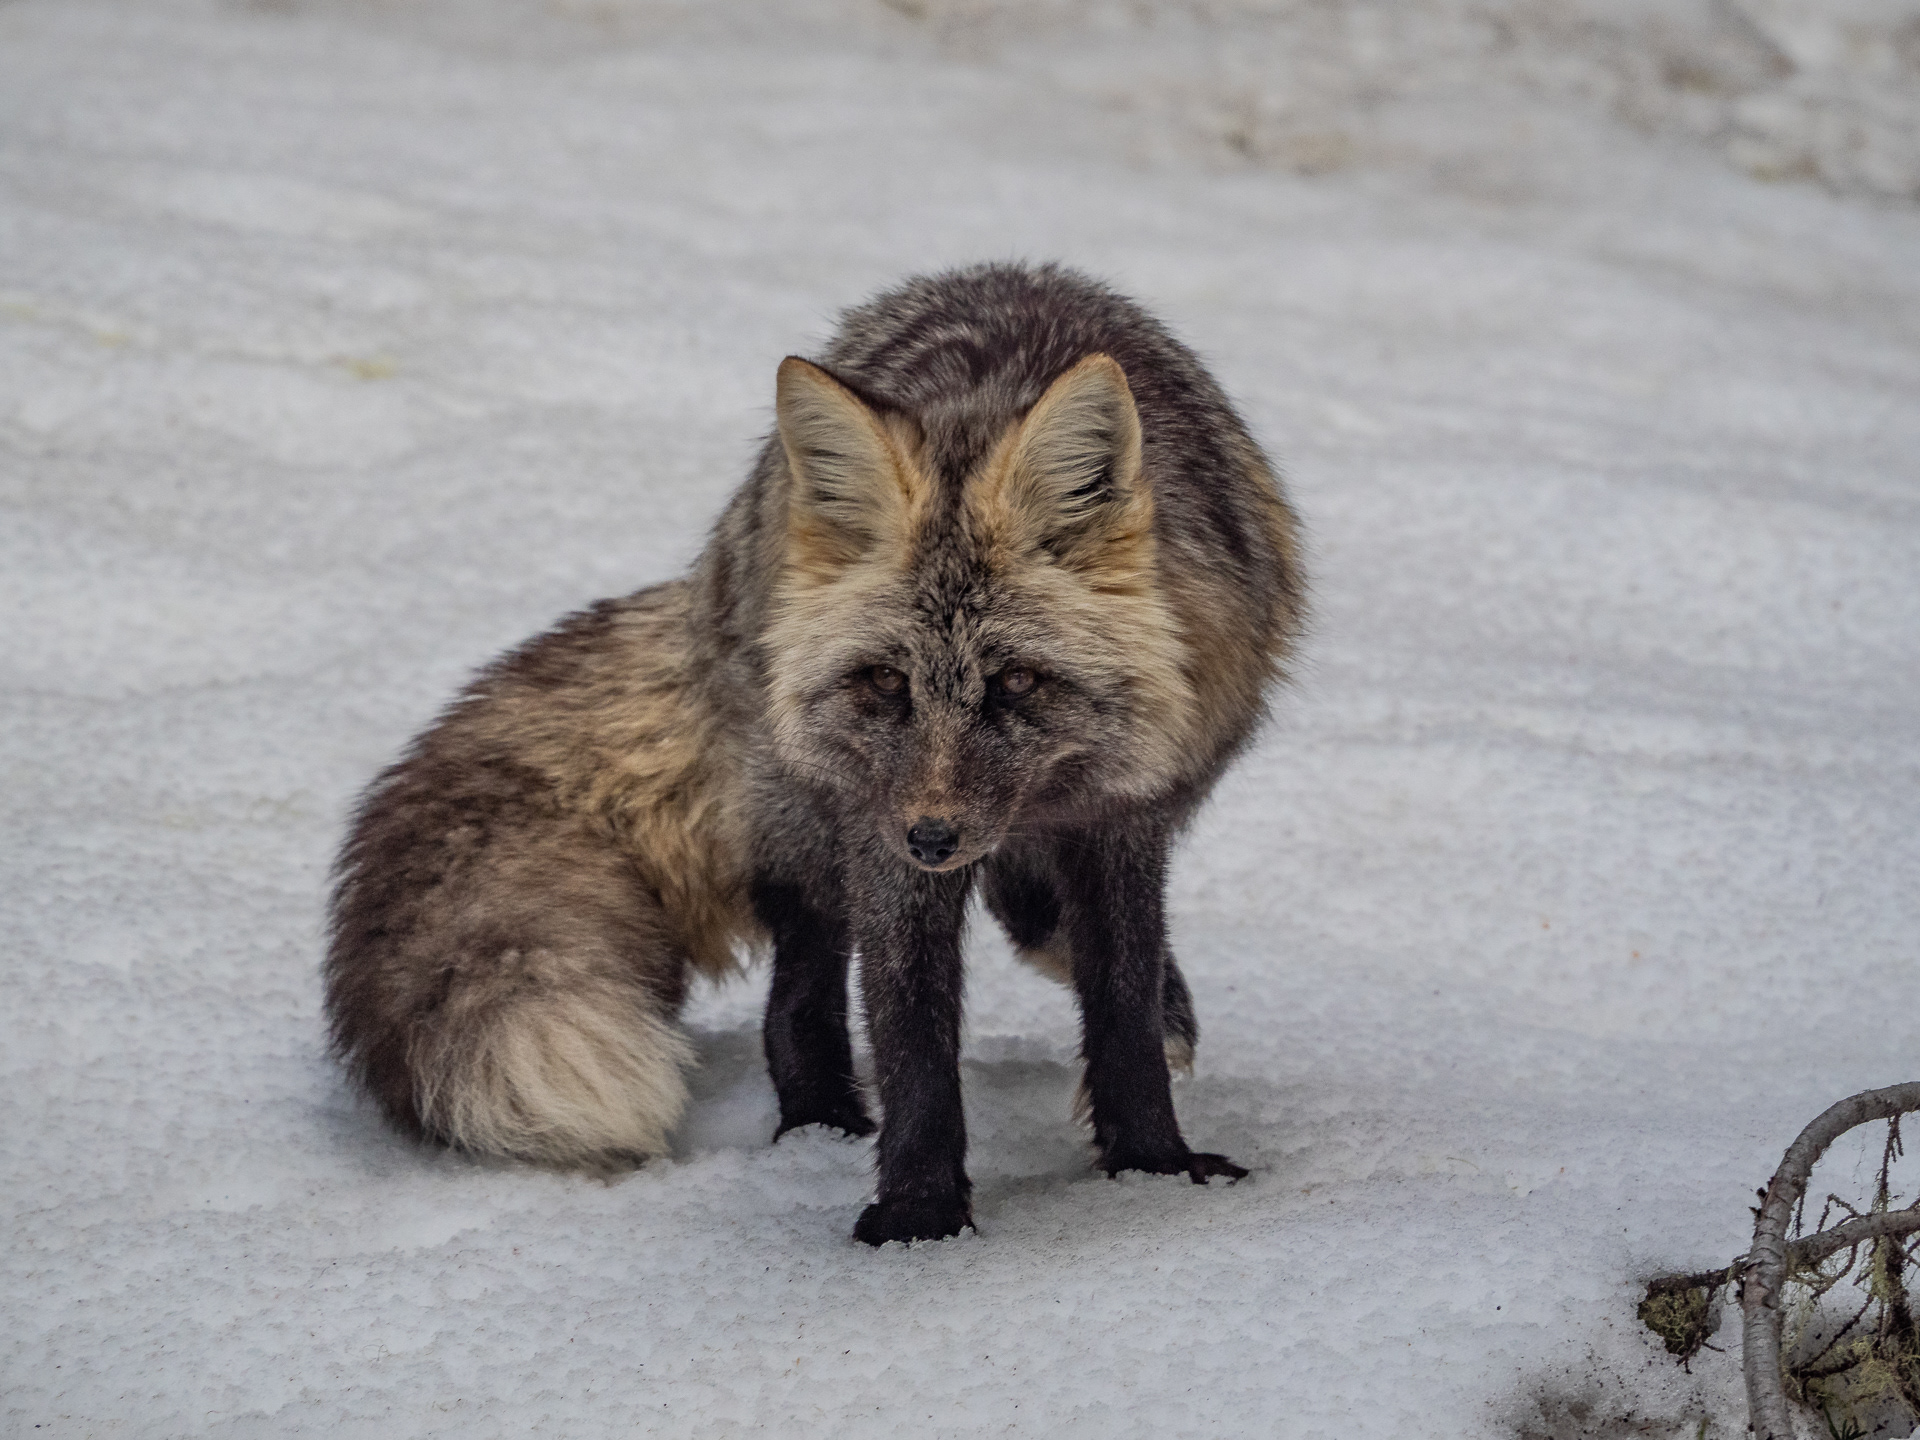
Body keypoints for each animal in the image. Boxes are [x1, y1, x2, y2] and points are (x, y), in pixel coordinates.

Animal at [325, 262, 1304, 1245]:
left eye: (1017, 682)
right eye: (884, 681)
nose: (934, 839)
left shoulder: (1124, 820)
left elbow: (1124, 1007)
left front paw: (1151, 1167)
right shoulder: (881, 841)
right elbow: (911, 1033)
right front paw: (918, 1212)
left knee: (1032, 917)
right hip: (811, 825)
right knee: (797, 998)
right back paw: (819, 1128)